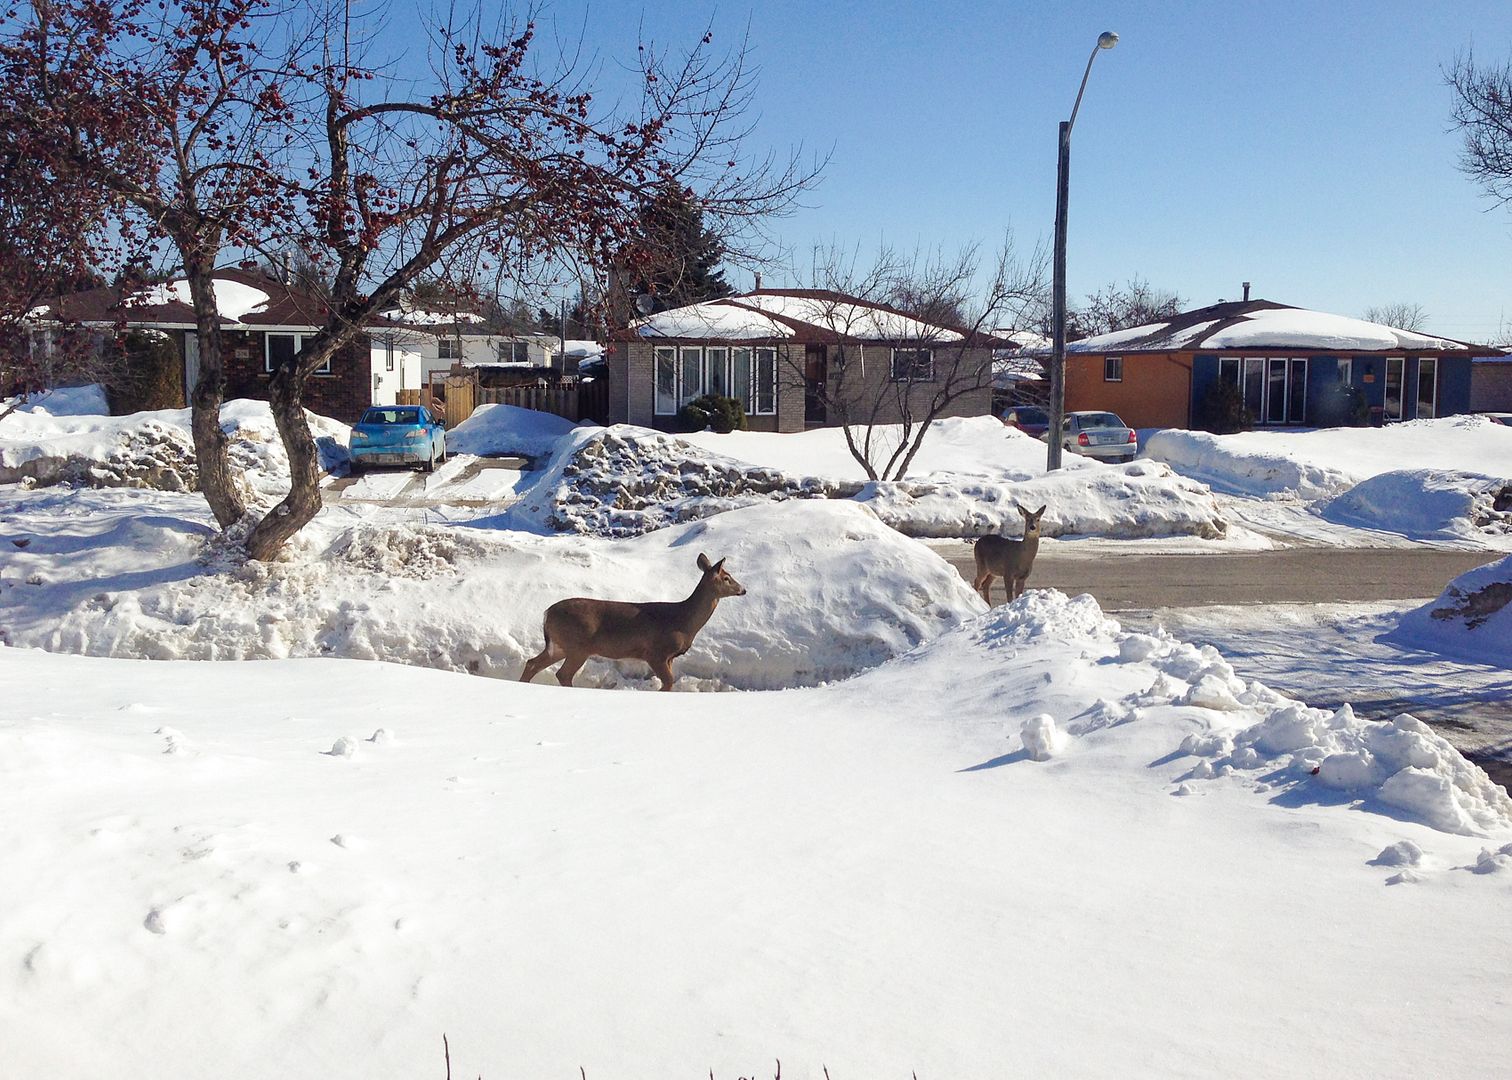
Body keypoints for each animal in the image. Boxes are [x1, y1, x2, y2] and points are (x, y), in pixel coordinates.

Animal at [520, 550, 749, 686]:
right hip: (578, 645)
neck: (683, 621)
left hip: (560, 645)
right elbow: (668, 682)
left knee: (533, 663)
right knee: (562, 674)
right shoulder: (655, 652)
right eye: (727, 578)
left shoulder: (670, 657)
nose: (743, 590)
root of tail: (546, 613)